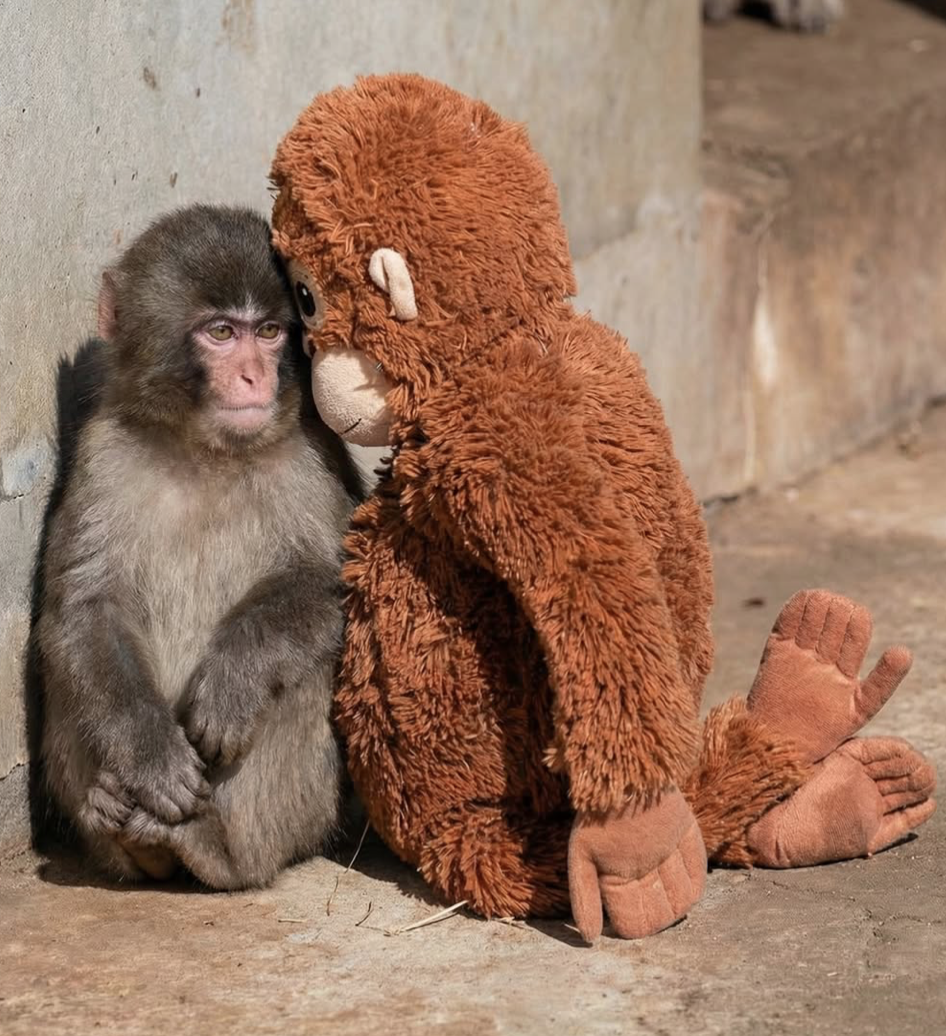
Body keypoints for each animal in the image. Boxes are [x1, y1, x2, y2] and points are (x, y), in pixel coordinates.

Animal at [37, 204, 363, 889]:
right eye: (220, 332)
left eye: (269, 331)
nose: (254, 375)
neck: (206, 451)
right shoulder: (104, 454)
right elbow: (84, 609)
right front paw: (150, 756)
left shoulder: (310, 456)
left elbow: (344, 584)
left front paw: (235, 676)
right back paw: (116, 823)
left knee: (305, 674)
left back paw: (211, 847)